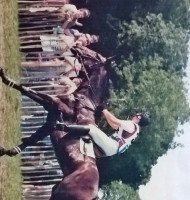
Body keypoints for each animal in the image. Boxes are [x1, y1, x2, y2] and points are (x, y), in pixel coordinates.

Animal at [0, 47, 110, 200]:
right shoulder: (48, 124)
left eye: (95, 55)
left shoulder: (54, 104)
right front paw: (6, 151)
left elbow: (28, 90)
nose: (76, 47)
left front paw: (5, 78)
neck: (84, 99)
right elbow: (30, 140)